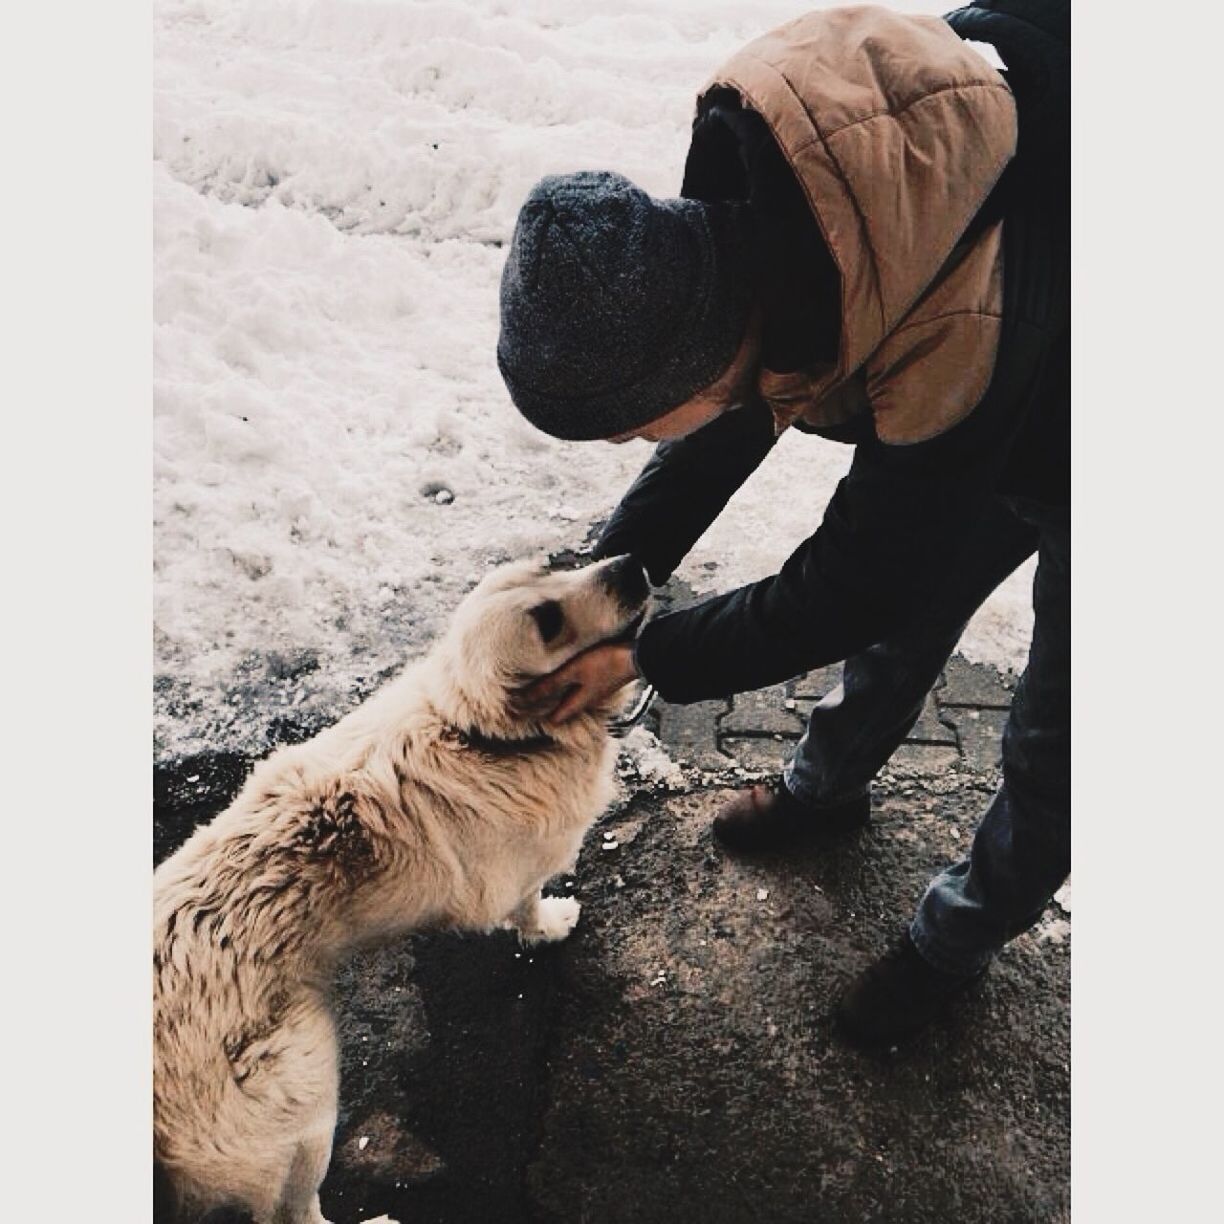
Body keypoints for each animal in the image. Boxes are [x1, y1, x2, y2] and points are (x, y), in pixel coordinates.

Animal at [155, 558, 651, 1224]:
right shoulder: (514, 876)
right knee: (294, 1212)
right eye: (548, 623)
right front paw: (549, 926)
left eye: (552, 567)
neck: (480, 735)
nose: (632, 566)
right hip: (306, 1082)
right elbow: (526, 905)